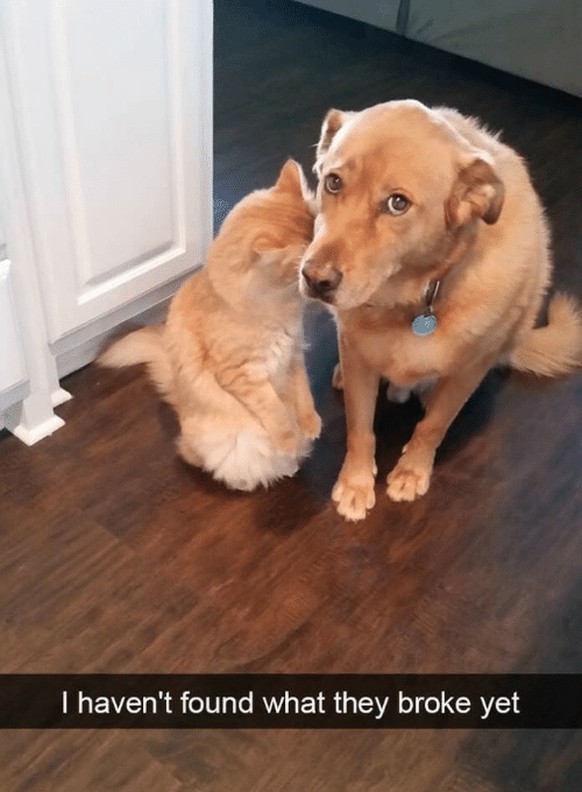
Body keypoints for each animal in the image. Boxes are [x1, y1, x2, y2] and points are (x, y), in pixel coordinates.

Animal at [302, 97, 582, 520]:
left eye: (397, 203)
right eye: (333, 182)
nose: (314, 279)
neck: (415, 299)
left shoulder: (468, 372)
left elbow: (432, 427)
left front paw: (411, 472)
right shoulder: (359, 359)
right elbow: (359, 428)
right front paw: (355, 483)